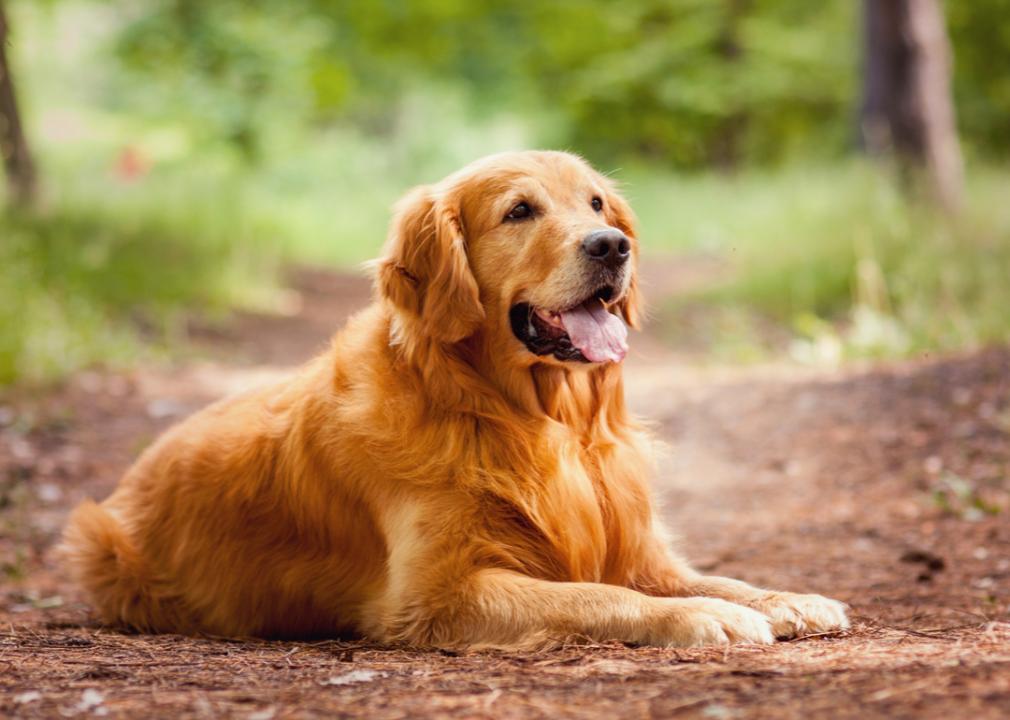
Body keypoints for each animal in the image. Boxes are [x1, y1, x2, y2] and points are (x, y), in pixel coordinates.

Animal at [63, 150, 848, 646]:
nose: (612, 244)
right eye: (520, 211)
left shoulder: (638, 547)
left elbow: (714, 577)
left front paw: (786, 598)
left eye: (596, 202)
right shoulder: (437, 593)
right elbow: (598, 594)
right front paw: (699, 618)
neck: (533, 418)